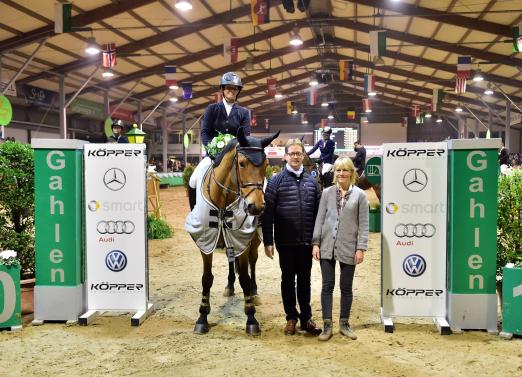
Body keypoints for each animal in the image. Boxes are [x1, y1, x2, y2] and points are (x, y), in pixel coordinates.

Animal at [189, 128, 278, 334]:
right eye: (242, 163)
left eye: (266, 165)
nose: (256, 207)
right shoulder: (205, 242)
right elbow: (206, 278)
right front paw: (202, 317)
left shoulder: (242, 240)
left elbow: (245, 277)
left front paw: (251, 318)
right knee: (231, 261)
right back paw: (229, 286)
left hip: (252, 241)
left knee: (253, 264)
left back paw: (254, 292)